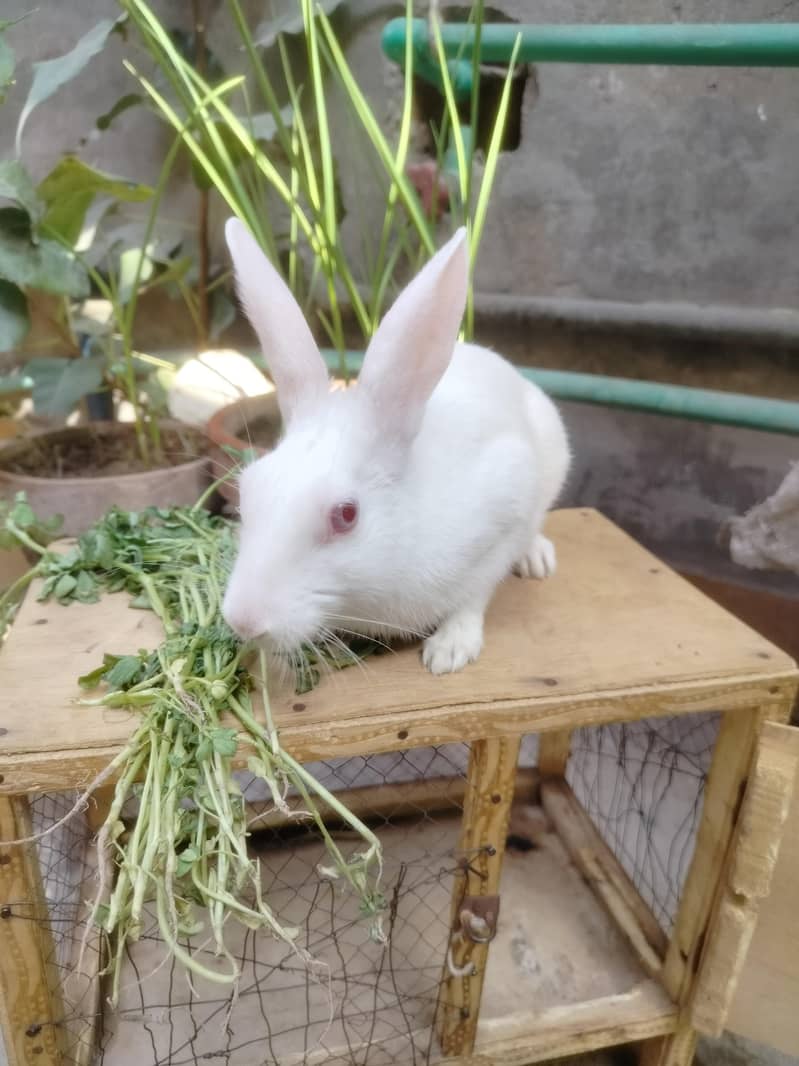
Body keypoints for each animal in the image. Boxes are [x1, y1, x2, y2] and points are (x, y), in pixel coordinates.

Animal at [221, 218, 571, 675]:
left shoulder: (503, 511)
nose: (243, 621)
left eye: (346, 515)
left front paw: (449, 652)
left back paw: (536, 560)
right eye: (246, 492)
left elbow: (473, 597)